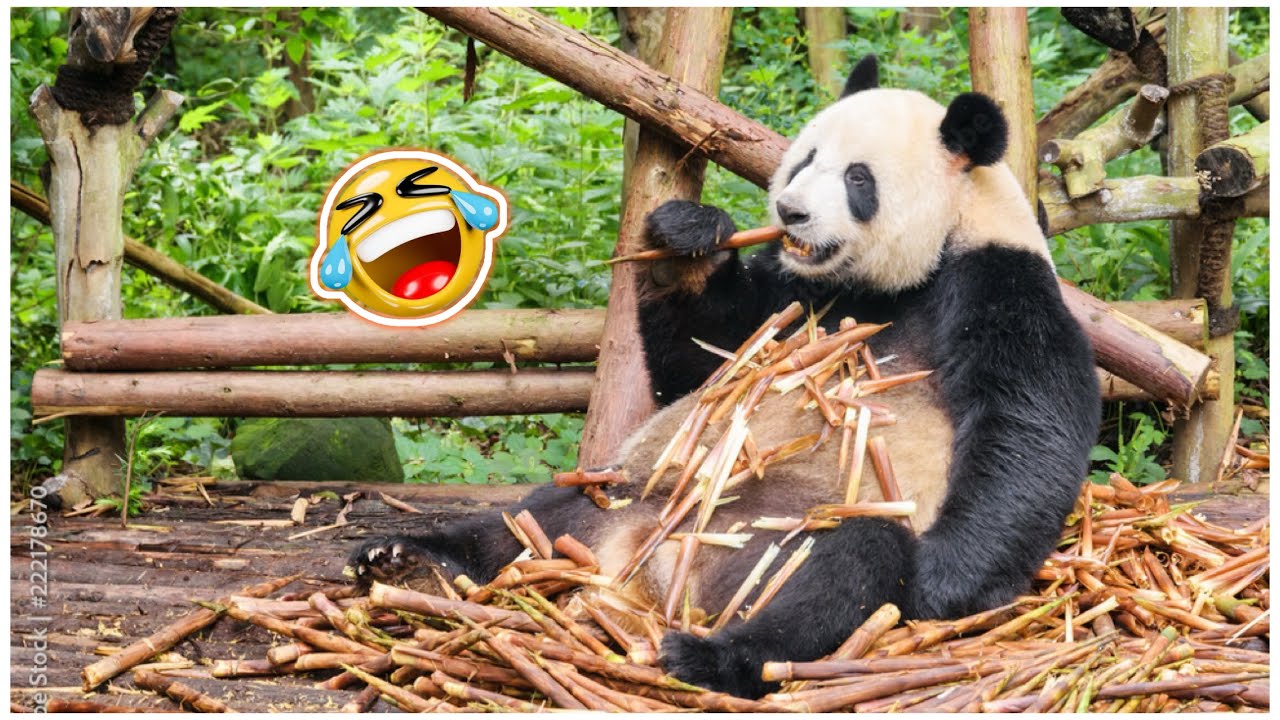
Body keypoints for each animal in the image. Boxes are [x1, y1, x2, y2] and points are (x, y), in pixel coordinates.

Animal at [349, 55, 1101, 699]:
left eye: (858, 180)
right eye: (806, 158)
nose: (792, 211)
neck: (901, 275)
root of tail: (643, 578)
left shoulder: (995, 281)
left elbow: (1027, 427)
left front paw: (946, 582)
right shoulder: (791, 294)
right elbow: (703, 363)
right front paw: (687, 239)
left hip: (777, 536)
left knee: (842, 568)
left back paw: (711, 656)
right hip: (625, 499)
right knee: (532, 518)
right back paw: (410, 558)